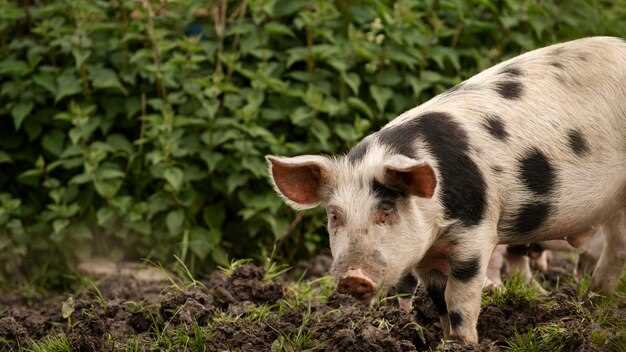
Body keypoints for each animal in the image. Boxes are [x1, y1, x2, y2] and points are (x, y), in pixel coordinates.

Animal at [264, 37, 624, 344]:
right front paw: (443, 339)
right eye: (335, 215)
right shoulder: (427, 254)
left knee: (614, 250)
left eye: (387, 209)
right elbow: (438, 298)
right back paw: (594, 301)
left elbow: (460, 296)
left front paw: (463, 342)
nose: (353, 277)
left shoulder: (477, 232)